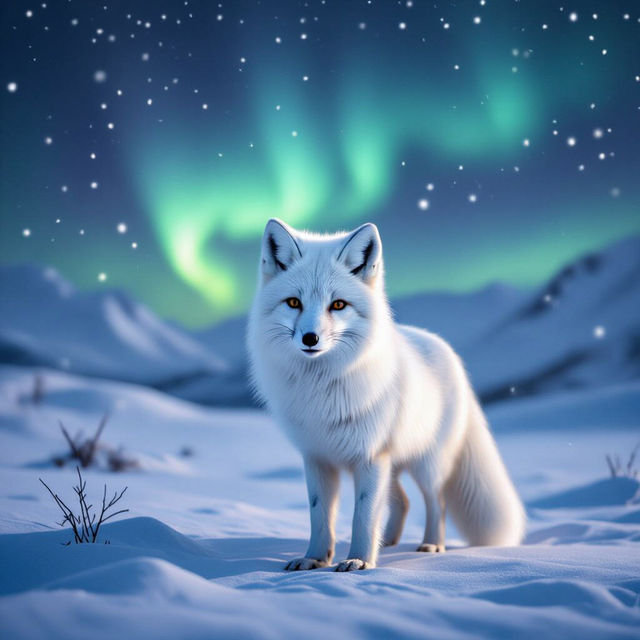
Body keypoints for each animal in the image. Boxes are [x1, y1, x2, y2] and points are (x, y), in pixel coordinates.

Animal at [247, 218, 526, 571]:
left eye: (338, 305)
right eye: (293, 302)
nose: (310, 338)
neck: (322, 389)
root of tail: (448, 351)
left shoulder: (370, 456)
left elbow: (363, 517)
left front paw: (359, 562)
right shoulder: (318, 458)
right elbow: (320, 516)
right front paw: (315, 559)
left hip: (426, 464)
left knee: (437, 502)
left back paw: (431, 545)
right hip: (391, 466)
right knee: (403, 502)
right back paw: (389, 544)